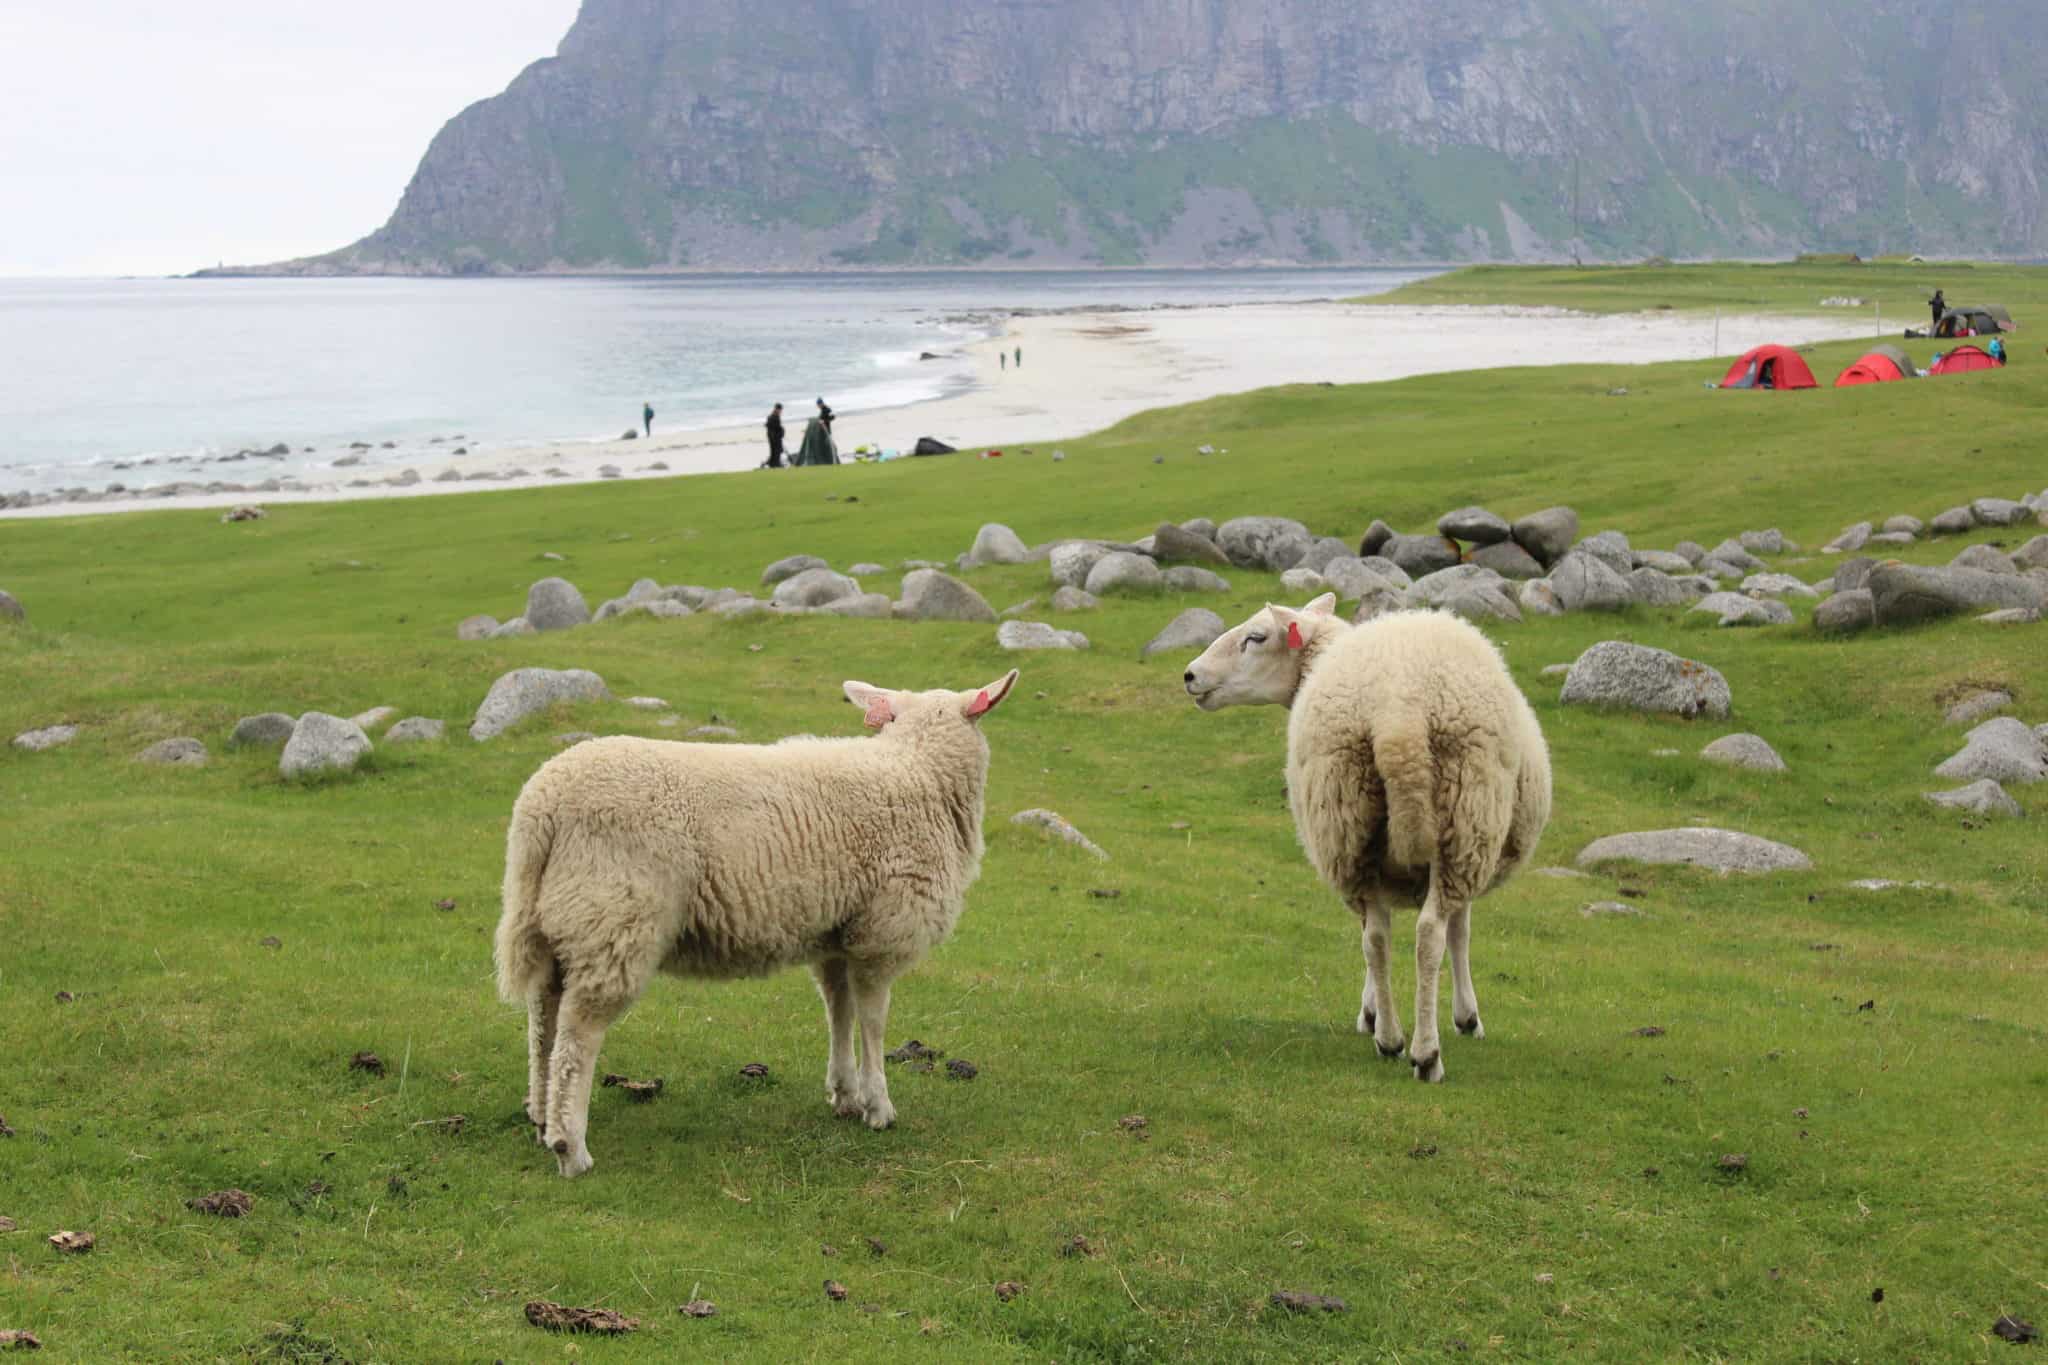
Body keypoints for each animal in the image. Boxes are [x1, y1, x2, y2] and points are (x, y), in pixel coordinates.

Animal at [497, 667, 1024, 1178]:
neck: (917, 768)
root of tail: (542, 806)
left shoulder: (836, 933)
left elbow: (839, 1010)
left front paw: (844, 1094)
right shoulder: (882, 931)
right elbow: (873, 1021)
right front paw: (878, 1106)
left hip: (558, 923)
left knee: (543, 1019)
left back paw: (541, 1117)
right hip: (615, 921)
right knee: (577, 1036)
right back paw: (570, 1147)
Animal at [1187, 593, 1548, 1080]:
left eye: (1256, 637)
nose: (1190, 675)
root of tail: (1398, 713)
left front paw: (1373, 1011)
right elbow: (1460, 931)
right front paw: (1466, 1017)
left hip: (1349, 823)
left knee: (1376, 936)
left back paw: (1390, 1040)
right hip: (1464, 818)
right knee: (1428, 934)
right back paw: (1424, 1054)